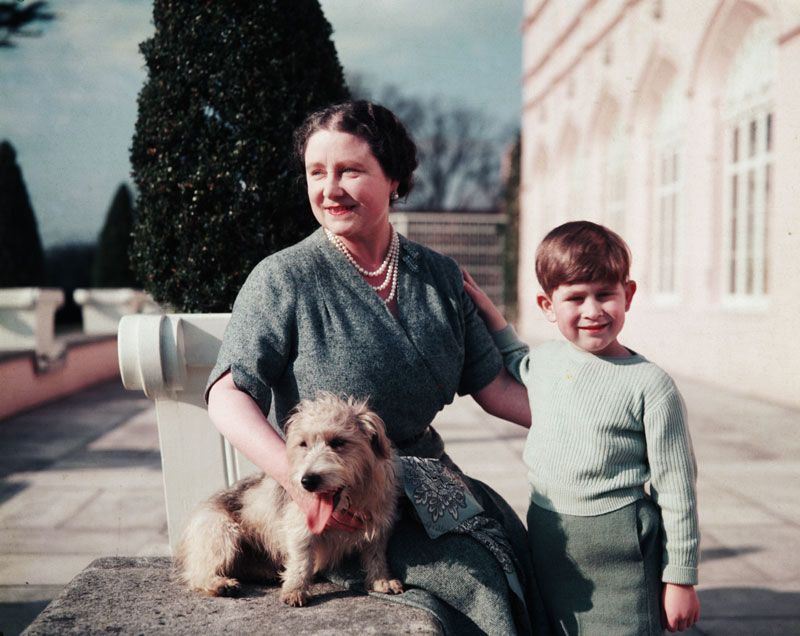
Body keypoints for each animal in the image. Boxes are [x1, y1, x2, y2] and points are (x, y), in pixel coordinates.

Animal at [175, 392, 400, 608]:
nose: (307, 481)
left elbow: (376, 555)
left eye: (338, 442)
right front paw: (295, 589)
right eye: (303, 444)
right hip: (221, 531)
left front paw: (381, 580)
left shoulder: (378, 525)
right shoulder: (300, 528)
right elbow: (301, 560)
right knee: (196, 573)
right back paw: (219, 583)